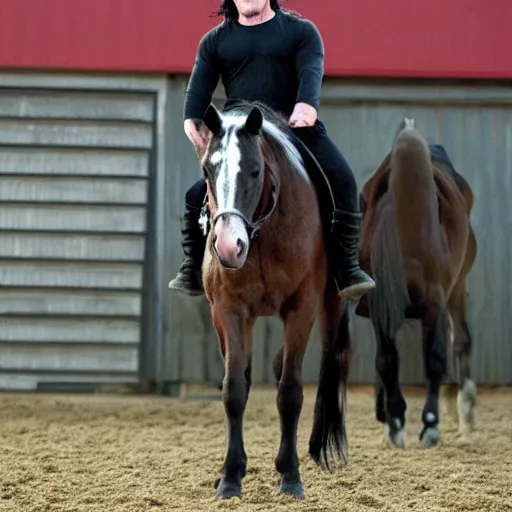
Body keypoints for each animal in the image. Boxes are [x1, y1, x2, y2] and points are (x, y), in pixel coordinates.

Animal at [198, 100, 350, 500]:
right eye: (207, 169)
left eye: (254, 170)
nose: (228, 246)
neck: (261, 233)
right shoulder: (229, 311)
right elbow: (234, 390)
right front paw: (230, 478)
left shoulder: (301, 309)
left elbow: (290, 393)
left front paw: (291, 476)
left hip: (332, 306)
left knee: (324, 364)